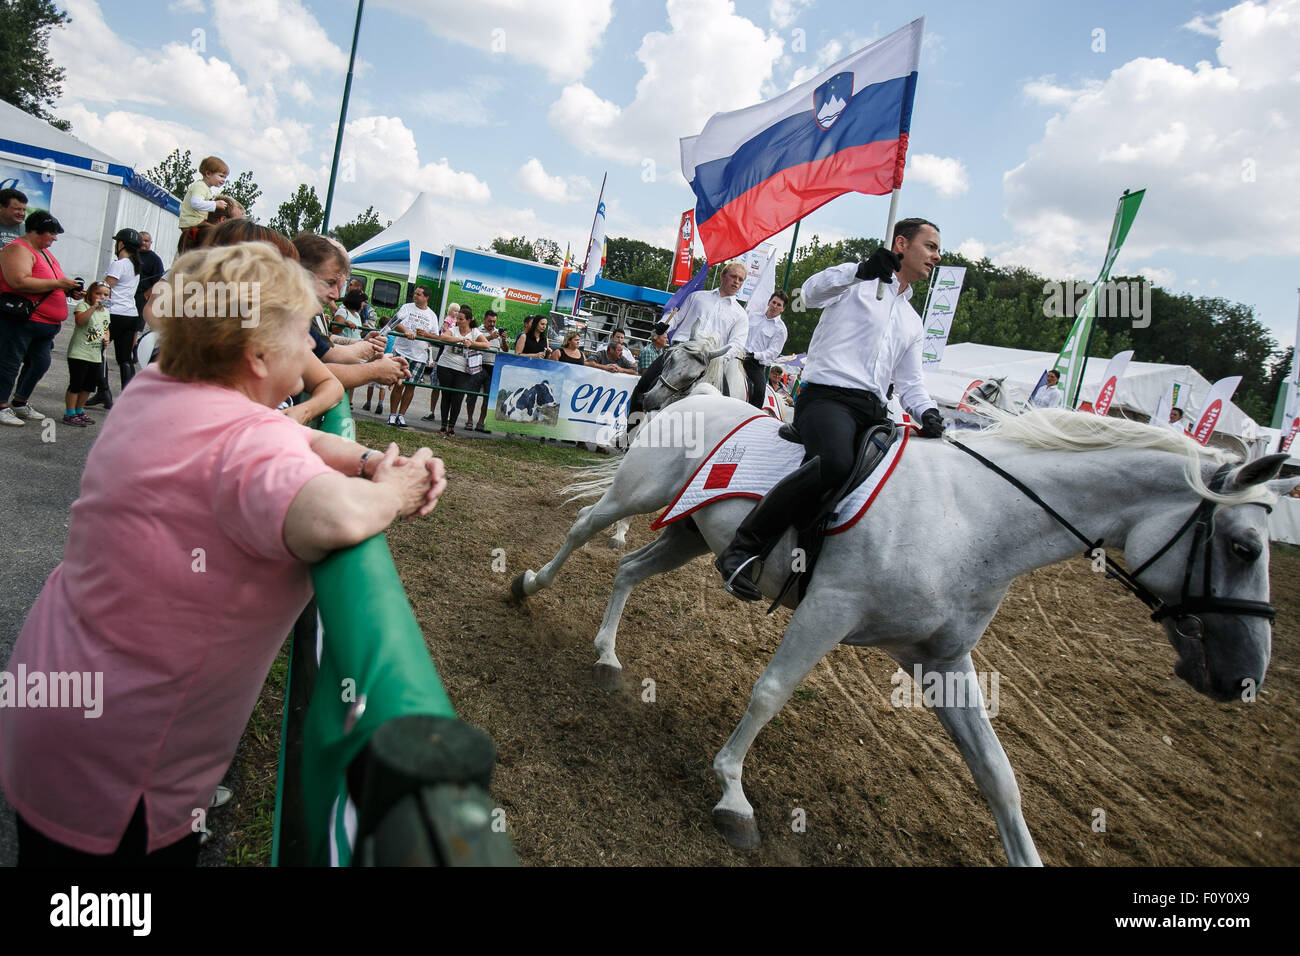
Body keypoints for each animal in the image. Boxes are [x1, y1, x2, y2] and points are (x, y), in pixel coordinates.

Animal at [512, 382, 1294, 868]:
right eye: (1243, 548)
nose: (1244, 679)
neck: (973, 520)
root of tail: (701, 394)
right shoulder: (828, 610)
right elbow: (769, 694)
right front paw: (733, 795)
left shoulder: (941, 661)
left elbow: (999, 774)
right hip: (639, 496)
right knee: (586, 531)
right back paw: (526, 588)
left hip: (691, 535)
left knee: (629, 569)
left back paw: (607, 657)